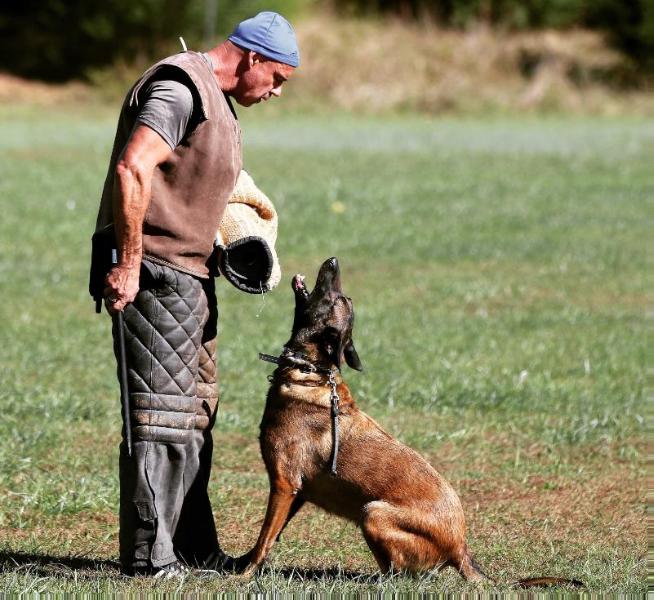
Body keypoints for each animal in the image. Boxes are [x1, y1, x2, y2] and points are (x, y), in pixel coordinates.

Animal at [233, 255, 580, 588]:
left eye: (334, 297)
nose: (333, 260)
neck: (309, 373)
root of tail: (460, 548)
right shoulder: (299, 492)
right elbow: (272, 535)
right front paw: (240, 564)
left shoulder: (284, 484)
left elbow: (265, 537)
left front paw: (244, 575)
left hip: (373, 512)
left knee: (399, 574)